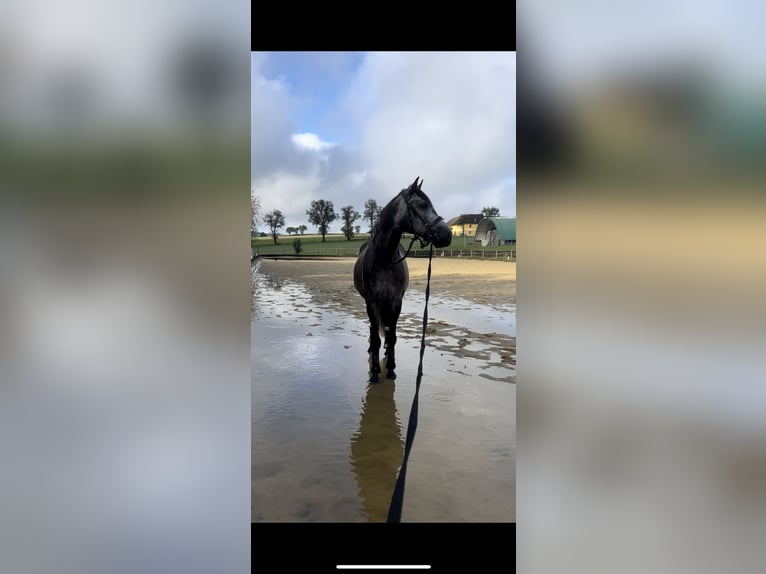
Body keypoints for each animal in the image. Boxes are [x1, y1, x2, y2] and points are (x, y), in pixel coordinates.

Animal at [353, 177, 452, 383]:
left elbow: (392, 336)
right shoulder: (372, 302)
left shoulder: (396, 301)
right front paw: (375, 373)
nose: (447, 235)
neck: (384, 259)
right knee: (373, 330)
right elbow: (376, 335)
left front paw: (391, 369)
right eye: (422, 205)